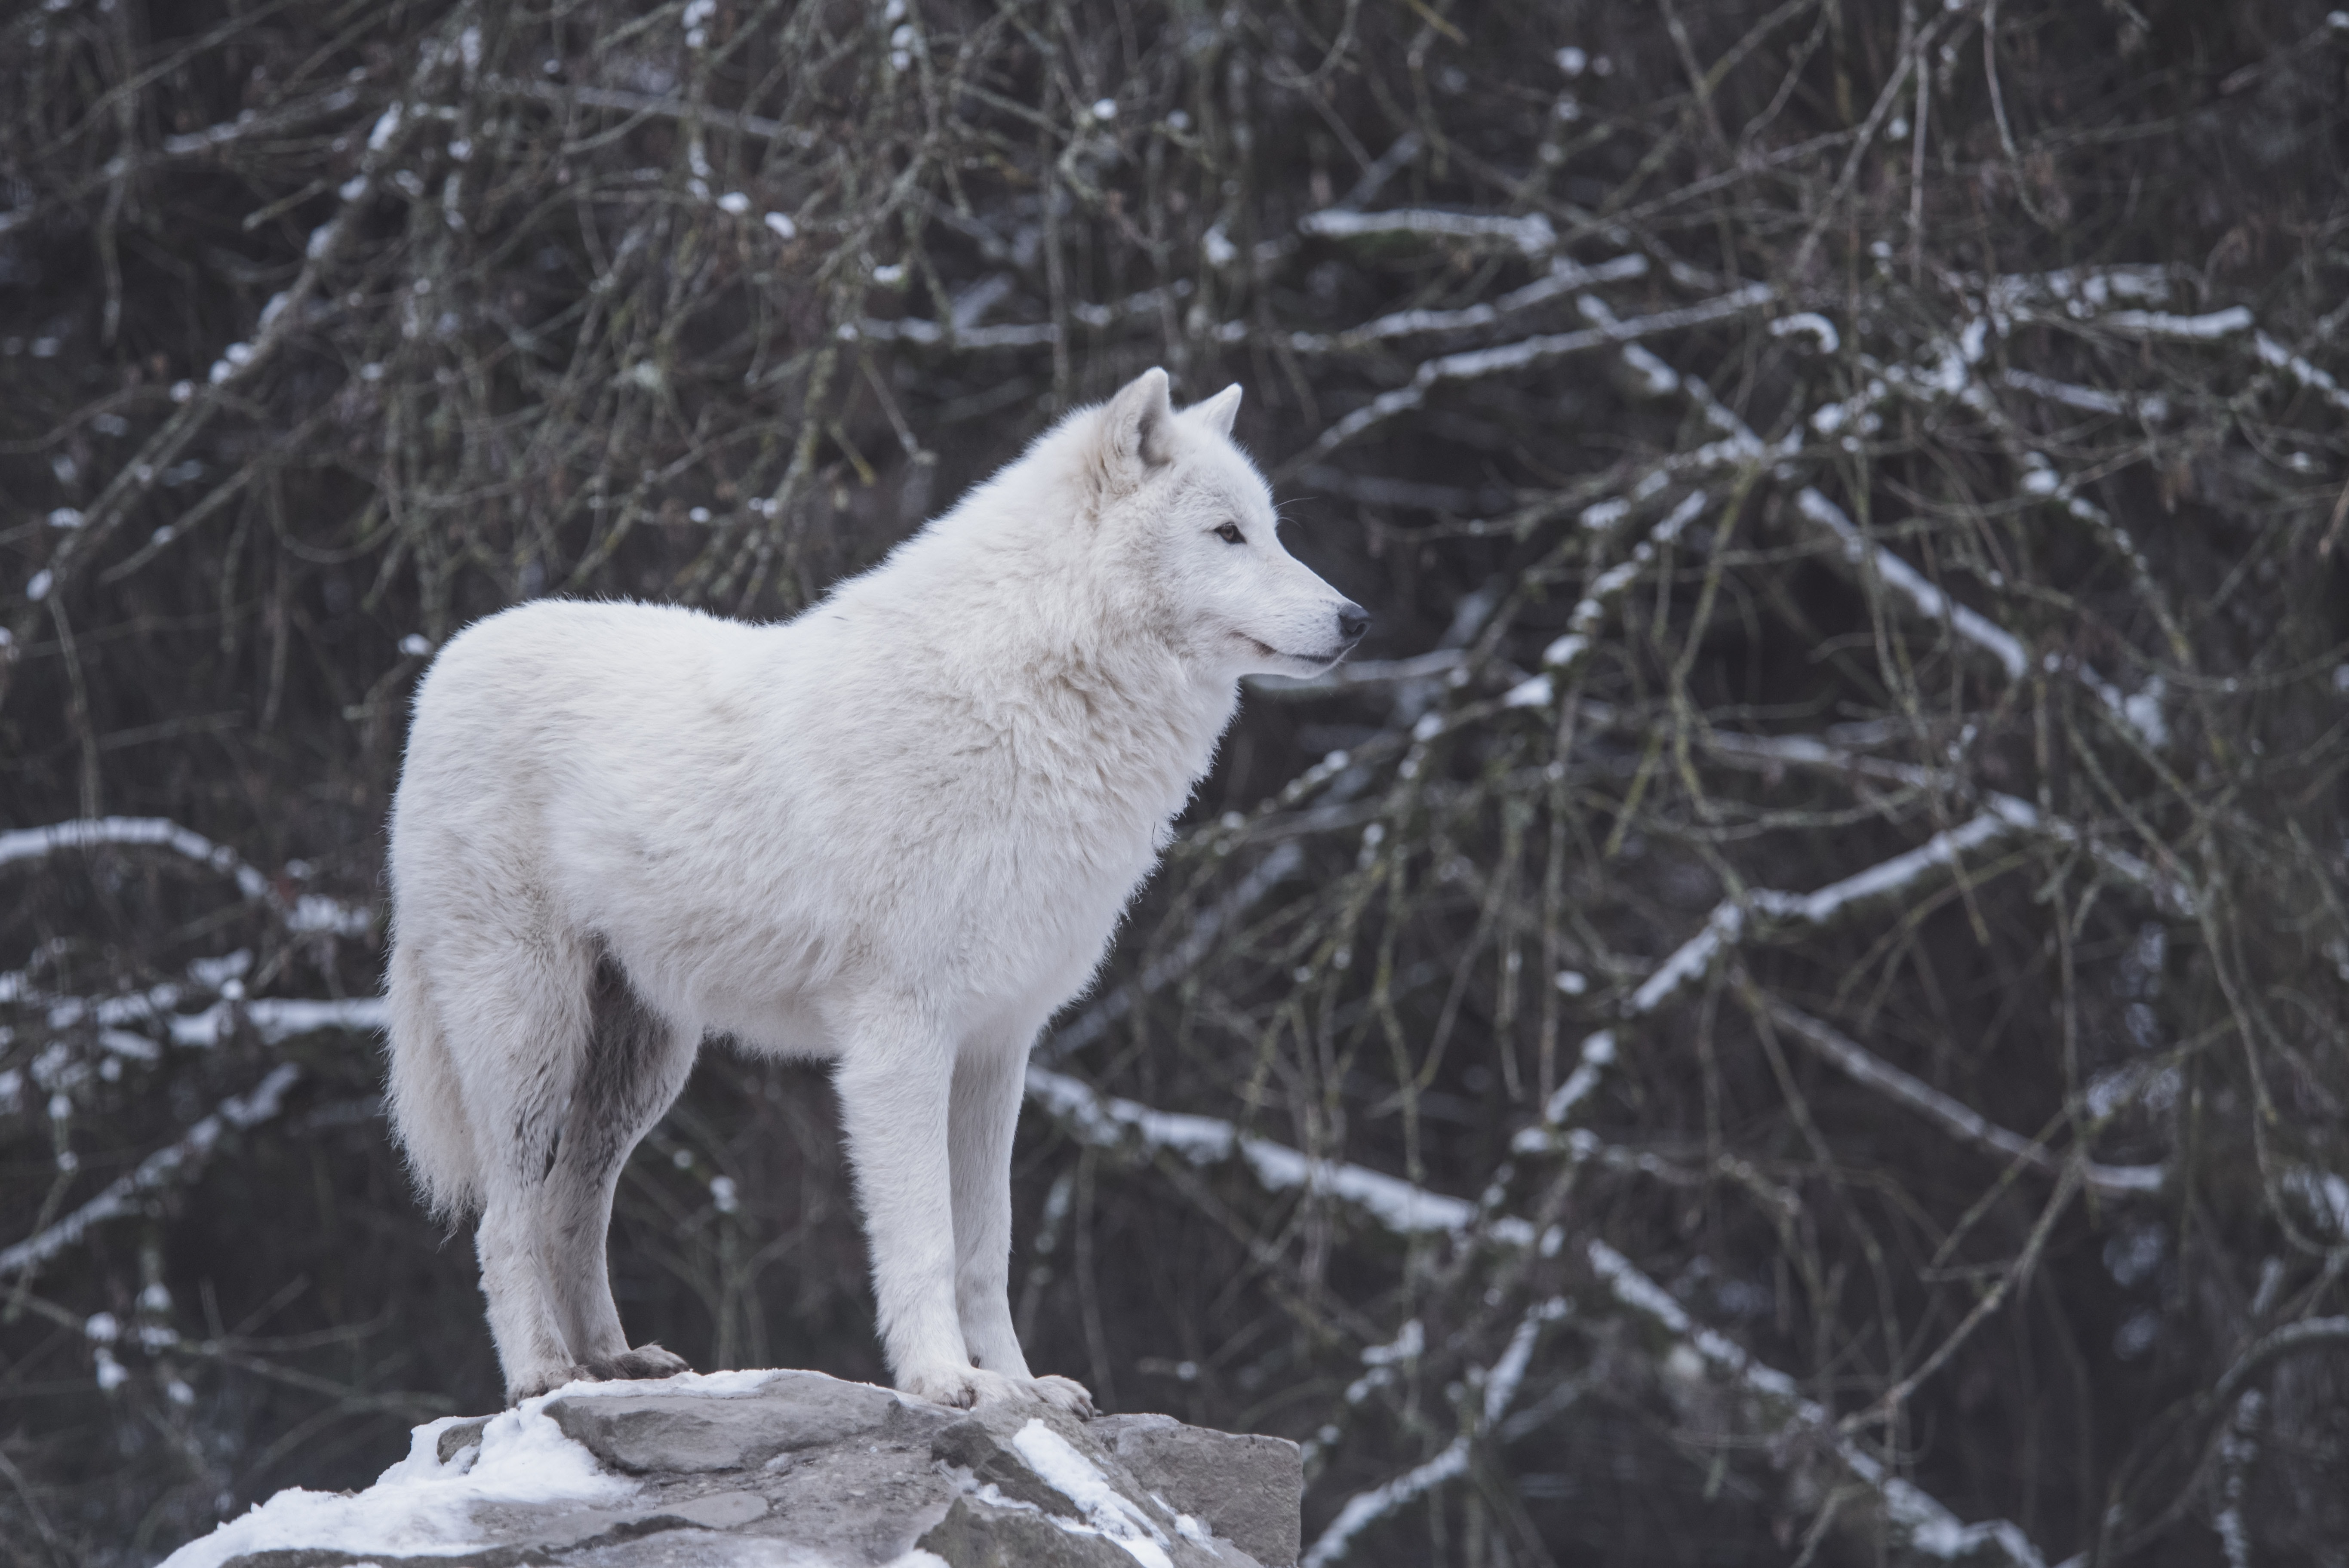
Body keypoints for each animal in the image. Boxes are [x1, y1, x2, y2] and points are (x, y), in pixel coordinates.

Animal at [385, 368, 1371, 1408]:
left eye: (1272, 529)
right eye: (1227, 534)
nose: (1357, 619)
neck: (1027, 703)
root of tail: (450, 657)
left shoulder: (998, 1046)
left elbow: (987, 1245)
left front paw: (1022, 1386)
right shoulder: (900, 1040)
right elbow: (926, 1237)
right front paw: (944, 1379)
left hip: (643, 1064)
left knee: (575, 1206)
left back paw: (615, 1363)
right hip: (529, 1036)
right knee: (506, 1220)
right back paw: (543, 1371)